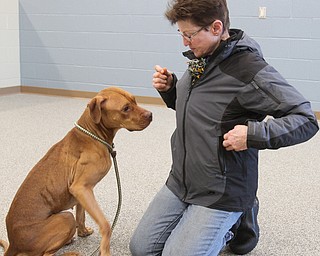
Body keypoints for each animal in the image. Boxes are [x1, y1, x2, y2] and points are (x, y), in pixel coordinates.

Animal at [0, 87, 152, 255]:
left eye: (135, 100)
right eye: (125, 108)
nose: (151, 115)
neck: (93, 134)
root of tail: (14, 244)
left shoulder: (82, 193)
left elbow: (81, 215)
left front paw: (83, 232)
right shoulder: (81, 188)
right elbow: (105, 225)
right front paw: (105, 248)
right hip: (65, 218)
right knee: (46, 253)